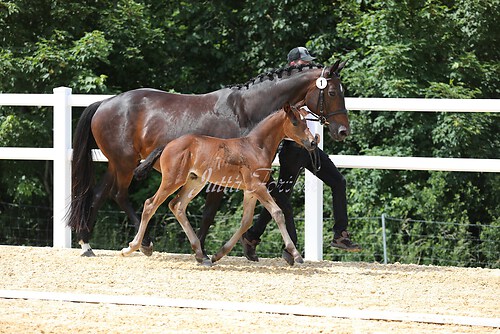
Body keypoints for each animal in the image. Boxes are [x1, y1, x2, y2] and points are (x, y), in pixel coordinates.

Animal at [121, 103, 316, 264]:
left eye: (306, 121)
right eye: (295, 122)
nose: (313, 142)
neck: (256, 147)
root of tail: (168, 144)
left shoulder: (250, 191)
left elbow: (246, 221)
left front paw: (218, 254)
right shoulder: (256, 186)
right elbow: (277, 213)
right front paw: (296, 254)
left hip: (195, 182)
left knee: (177, 205)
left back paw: (201, 255)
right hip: (172, 180)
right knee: (150, 205)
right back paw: (131, 247)